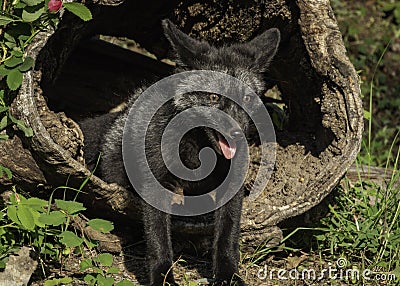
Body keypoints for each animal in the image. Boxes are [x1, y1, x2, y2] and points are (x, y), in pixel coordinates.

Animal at [81, 19, 280, 284]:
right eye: (214, 97)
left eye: (247, 98)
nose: (237, 133)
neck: (198, 153)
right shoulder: (154, 184)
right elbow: (158, 241)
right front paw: (162, 277)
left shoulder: (233, 185)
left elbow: (227, 237)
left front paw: (227, 274)